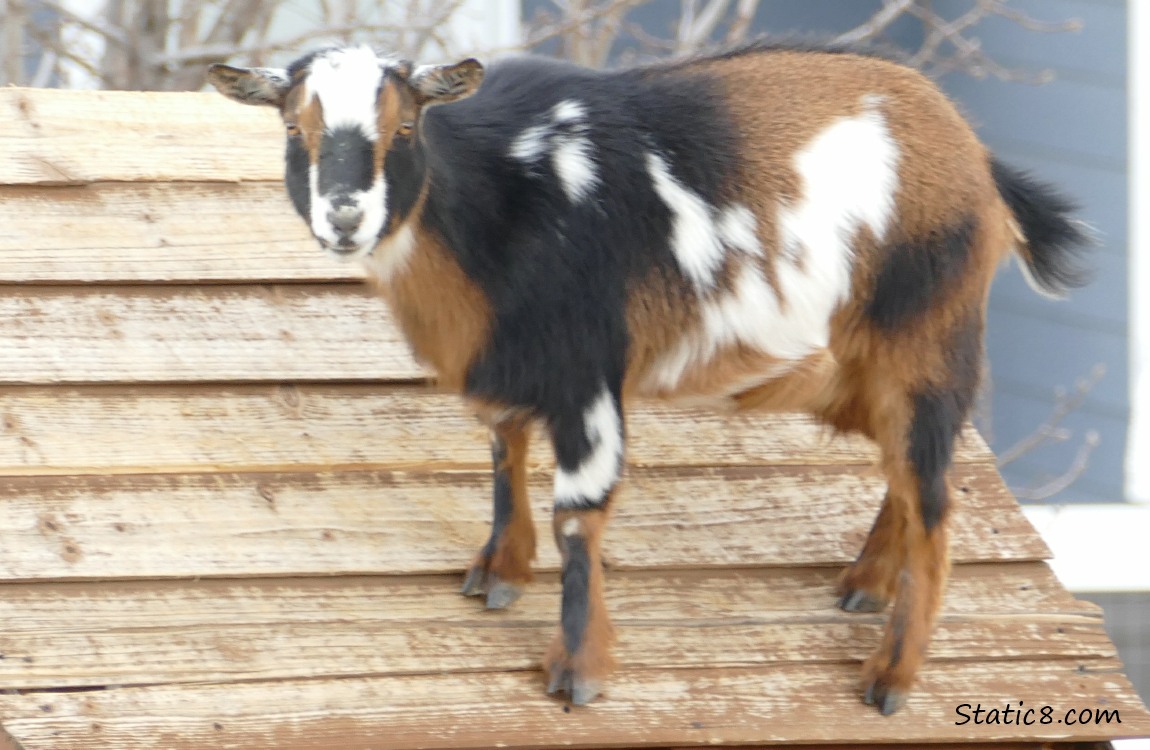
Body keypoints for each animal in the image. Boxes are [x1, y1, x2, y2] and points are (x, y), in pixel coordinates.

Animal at [209, 42, 1085, 713]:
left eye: (405, 124)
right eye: (292, 126)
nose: (346, 216)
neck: (504, 194)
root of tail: (980, 164)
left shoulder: (589, 370)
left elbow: (579, 517)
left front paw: (578, 673)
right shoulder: (519, 366)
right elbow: (503, 454)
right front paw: (499, 572)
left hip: (926, 346)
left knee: (934, 502)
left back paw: (890, 679)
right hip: (867, 370)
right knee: (910, 477)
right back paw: (864, 585)